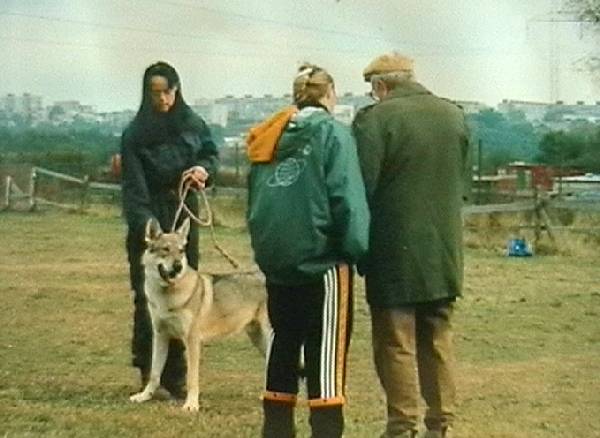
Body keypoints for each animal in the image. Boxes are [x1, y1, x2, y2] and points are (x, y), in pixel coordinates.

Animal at [129, 217, 271, 412]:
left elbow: (192, 378)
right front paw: (144, 396)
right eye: (165, 249)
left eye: (181, 251)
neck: (167, 297)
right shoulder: (160, 335)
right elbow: (154, 374)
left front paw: (191, 404)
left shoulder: (192, 340)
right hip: (258, 339)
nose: (178, 266)